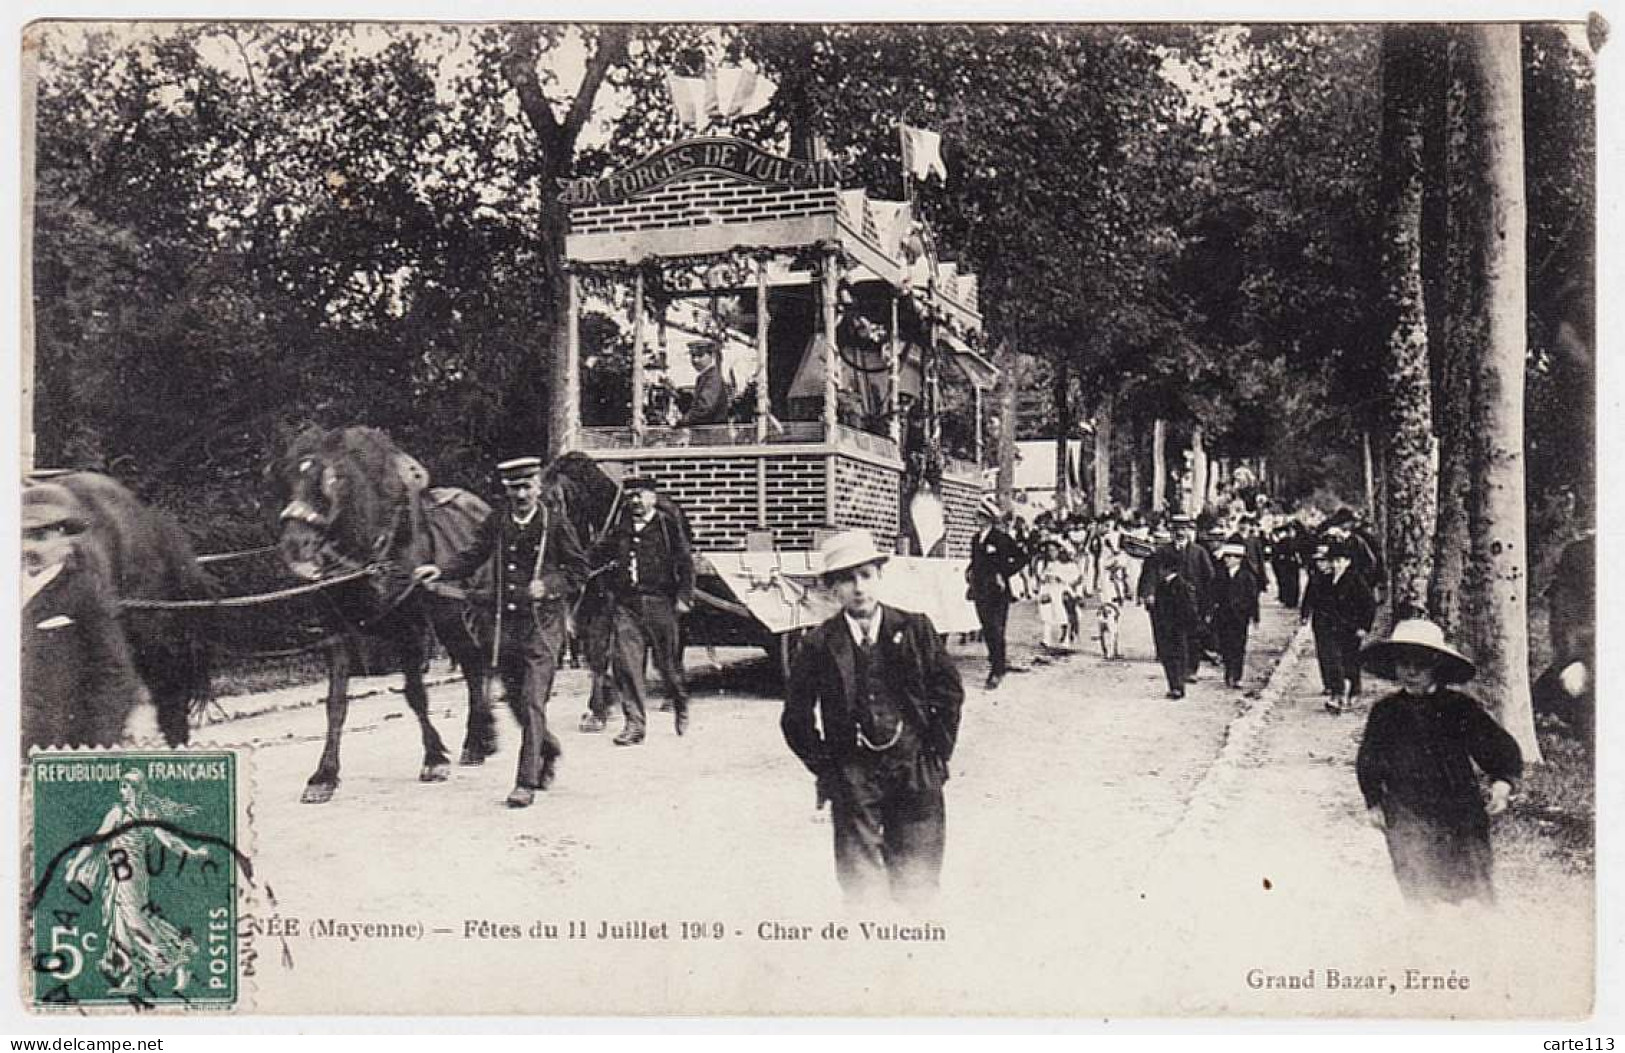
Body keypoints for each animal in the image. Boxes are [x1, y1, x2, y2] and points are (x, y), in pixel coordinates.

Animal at [271, 429, 494, 806]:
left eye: (333, 481)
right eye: (287, 479)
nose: (296, 547)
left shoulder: (410, 630)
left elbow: (415, 694)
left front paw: (434, 759)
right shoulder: (336, 633)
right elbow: (335, 704)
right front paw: (323, 777)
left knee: (477, 664)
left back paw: (480, 740)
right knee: (472, 663)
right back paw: (479, 741)